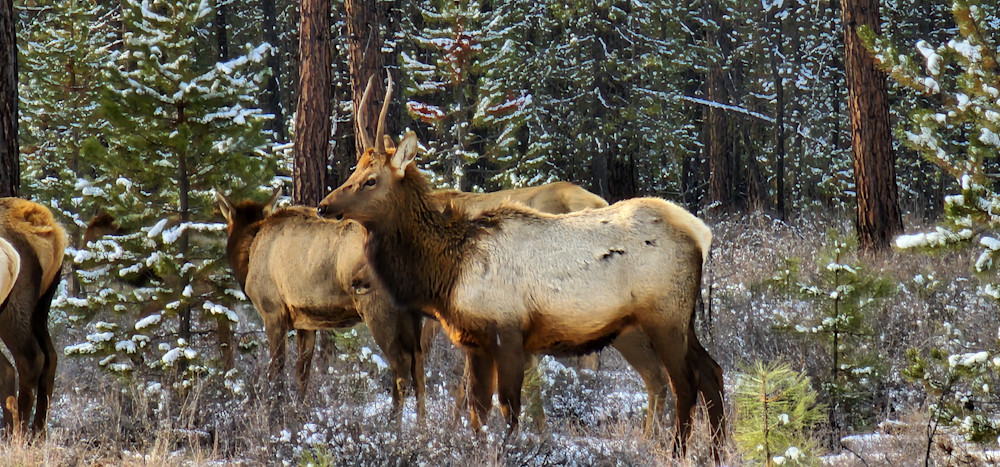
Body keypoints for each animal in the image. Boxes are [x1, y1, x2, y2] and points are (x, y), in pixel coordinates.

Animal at [0, 198, 67, 436]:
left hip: (12, 310)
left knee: (27, 360)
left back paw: (17, 434)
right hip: (40, 307)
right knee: (50, 357)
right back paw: (37, 434)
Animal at [215, 189, 426, 419]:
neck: (248, 253)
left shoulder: (272, 311)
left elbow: (277, 369)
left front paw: (274, 412)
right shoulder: (306, 321)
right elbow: (302, 372)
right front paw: (301, 410)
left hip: (377, 307)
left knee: (401, 363)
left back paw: (392, 423)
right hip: (413, 313)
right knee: (419, 364)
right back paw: (422, 425)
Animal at [317, 75, 726, 459]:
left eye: (370, 180)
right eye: (353, 171)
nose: (323, 205)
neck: (448, 270)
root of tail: (700, 234)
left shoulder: (508, 331)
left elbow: (509, 410)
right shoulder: (475, 341)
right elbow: (478, 412)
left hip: (664, 315)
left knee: (685, 383)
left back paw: (677, 453)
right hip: (675, 320)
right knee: (712, 372)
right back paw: (717, 451)